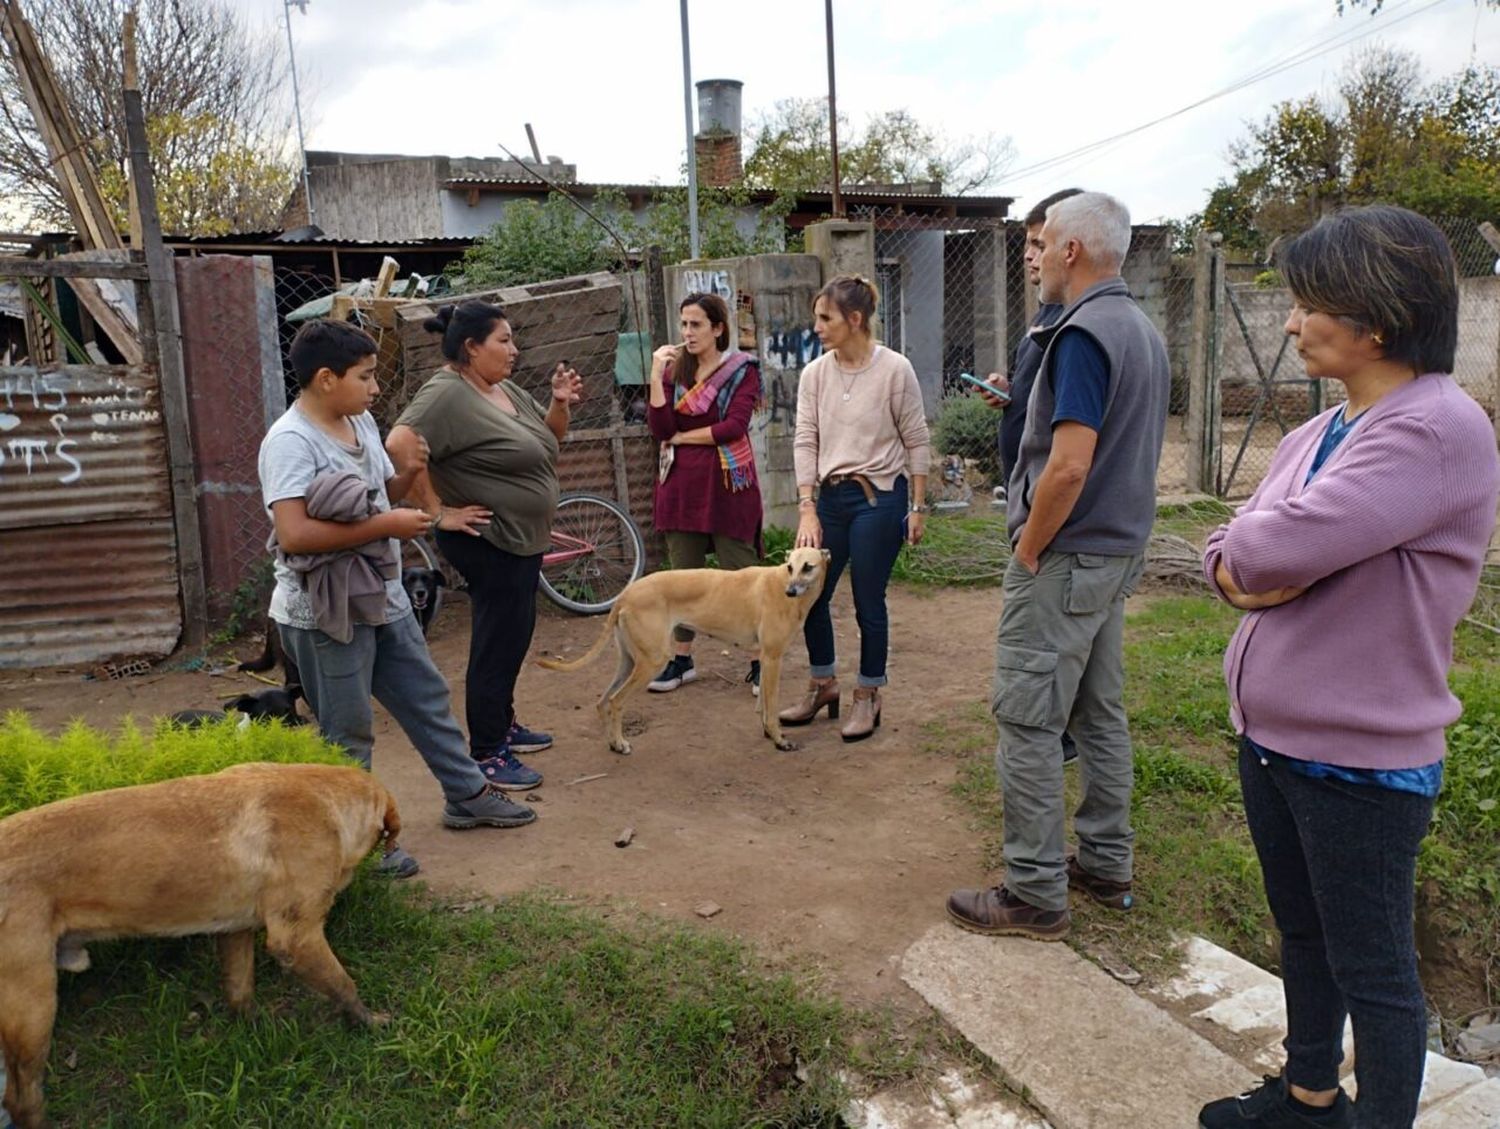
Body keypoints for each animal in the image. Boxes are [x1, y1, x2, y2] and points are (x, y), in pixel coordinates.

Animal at [0, 758, 399, 1127]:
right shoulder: (297, 938)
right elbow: (344, 984)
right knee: (21, 1099)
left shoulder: (235, 932)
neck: (323, 798)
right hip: (33, 1008)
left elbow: (240, 990)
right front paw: (369, 1021)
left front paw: (255, 1027)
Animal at [537, 542, 834, 752]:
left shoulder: (766, 658)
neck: (782, 585)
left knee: (602, 702)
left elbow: (762, 705)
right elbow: (771, 708)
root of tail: (625, 594)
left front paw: (768, 733)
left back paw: (612, 742)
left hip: (630, 660)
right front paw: (779, 740)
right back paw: (620, 743)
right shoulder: (773, 657)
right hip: (652, 661)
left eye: (808, 566)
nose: (790, 592)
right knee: (615, 701)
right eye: (790, 567)